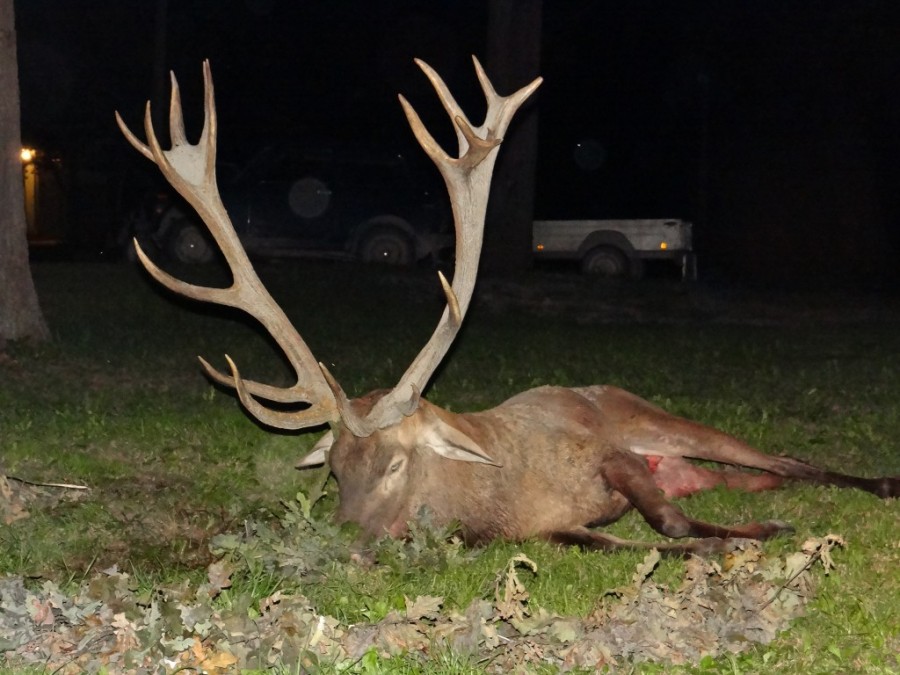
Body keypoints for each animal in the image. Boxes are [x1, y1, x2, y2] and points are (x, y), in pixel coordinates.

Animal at [116, 58, 899, 557]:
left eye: (395, 465)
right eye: (335, 469)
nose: (345, 540)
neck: (490, 505)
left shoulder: (611, 456)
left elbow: (670, 526)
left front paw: (763, 534)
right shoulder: (548, 531)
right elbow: (628, 543)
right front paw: (738, 537)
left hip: (658, 418)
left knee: (793, 459)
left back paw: (878, 482)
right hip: (689, 456)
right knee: (759, 471)